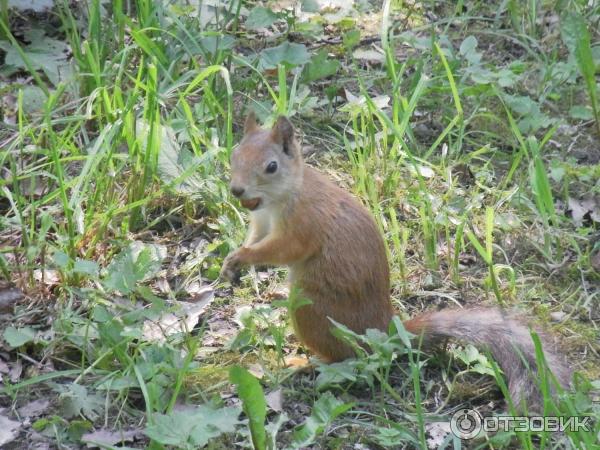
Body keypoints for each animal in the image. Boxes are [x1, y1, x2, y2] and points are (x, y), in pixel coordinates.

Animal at [221, 113, 572, 408]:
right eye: (234, 155)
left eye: (271, 167)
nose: (236, 190)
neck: (278, 199)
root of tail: (385, 330)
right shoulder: (261, 223)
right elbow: (254, 239)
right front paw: (232, 261)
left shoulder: (304, 224)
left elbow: (282, 249)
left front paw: (245, 257)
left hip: (311, 309)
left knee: (345, 356)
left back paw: (306, 363)